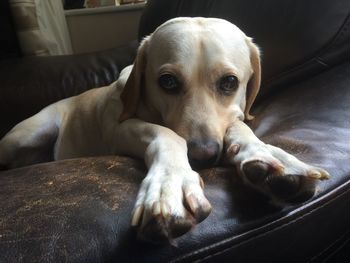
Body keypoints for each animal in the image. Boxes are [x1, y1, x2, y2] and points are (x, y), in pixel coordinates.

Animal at [0, 16, 328, 243]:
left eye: (230, 82)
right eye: (167, 82)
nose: (204, 155)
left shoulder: (233, 117)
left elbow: (240, 126)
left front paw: (270, 156)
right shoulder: (119, 129)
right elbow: (167, 134)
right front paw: (171, 184)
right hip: (31, 132)